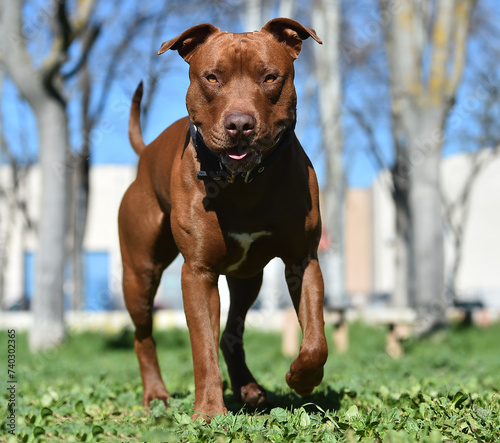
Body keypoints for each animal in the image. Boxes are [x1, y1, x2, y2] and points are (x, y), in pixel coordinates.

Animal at [117, 16, 328, 420]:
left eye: (270, 77)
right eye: (212, 77)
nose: (240, 124)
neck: (245, 184)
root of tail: (146, 151)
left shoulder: (303, 260)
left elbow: (315, 339)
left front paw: (301, 378)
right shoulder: (198, 273)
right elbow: (202, 347)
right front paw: (209, 413)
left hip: (248, 278)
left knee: (232, 332)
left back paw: (249, 388)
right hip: (139, 274)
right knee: (143, 334)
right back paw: (156, 395)